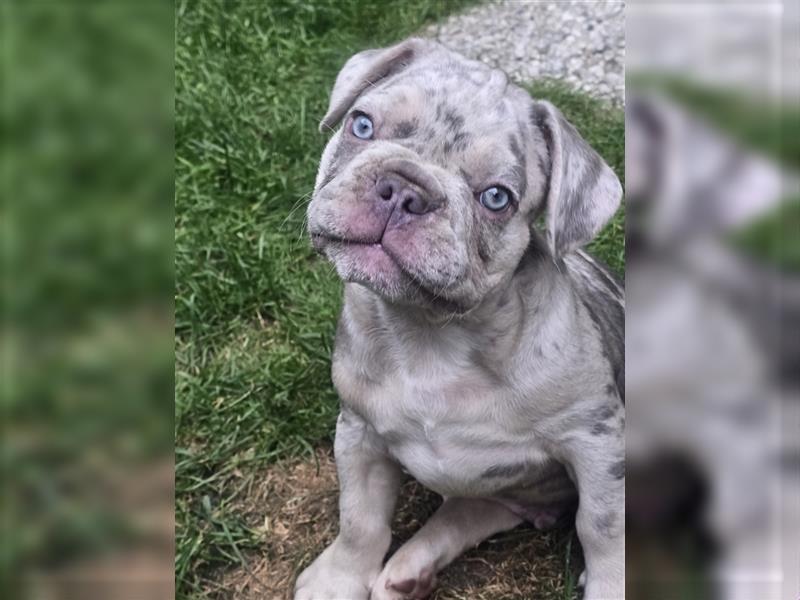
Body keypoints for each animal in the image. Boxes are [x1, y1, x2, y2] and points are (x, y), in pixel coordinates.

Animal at [296, 38, 624, 600]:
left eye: (496, 198)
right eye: (361, 125)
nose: (405, 189)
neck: (429, 333)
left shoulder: (597, 439)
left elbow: (603, 528)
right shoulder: (359, 432)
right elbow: (359, 518)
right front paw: (336, 581)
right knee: (472, 509)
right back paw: (409, 571)